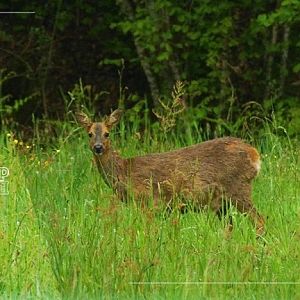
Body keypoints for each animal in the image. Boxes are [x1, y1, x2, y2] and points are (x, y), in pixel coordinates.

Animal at [77, 109, 264, 236]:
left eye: (107, 134)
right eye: (90, 134)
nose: (98, 147)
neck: (124, 171)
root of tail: (254, 154)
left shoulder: (148, 201)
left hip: (238, 189)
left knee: (260, 221)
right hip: (221, 202)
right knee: (230, 227)